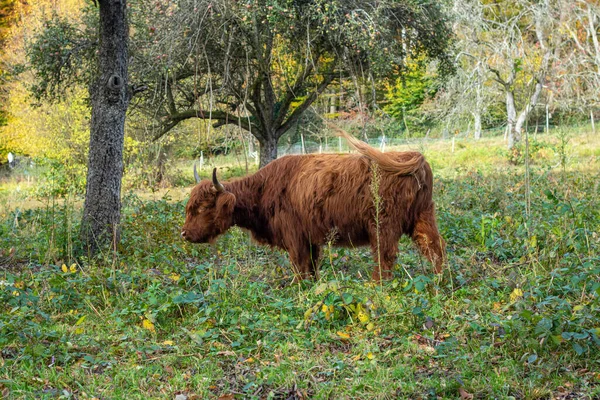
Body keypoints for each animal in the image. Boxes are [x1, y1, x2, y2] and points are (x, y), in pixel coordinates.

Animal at [180, 129, 442, 282]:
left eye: (203, 208)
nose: (184, 234)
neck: (264, 189)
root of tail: (412, 158)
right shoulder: (311, 239)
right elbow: (313, 267)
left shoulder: (295, 238)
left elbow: (300, 267)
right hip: (423, 217)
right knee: (435, 248)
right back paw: (440, 281)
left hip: (383, 227)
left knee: (385, 258)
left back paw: (377, 287)